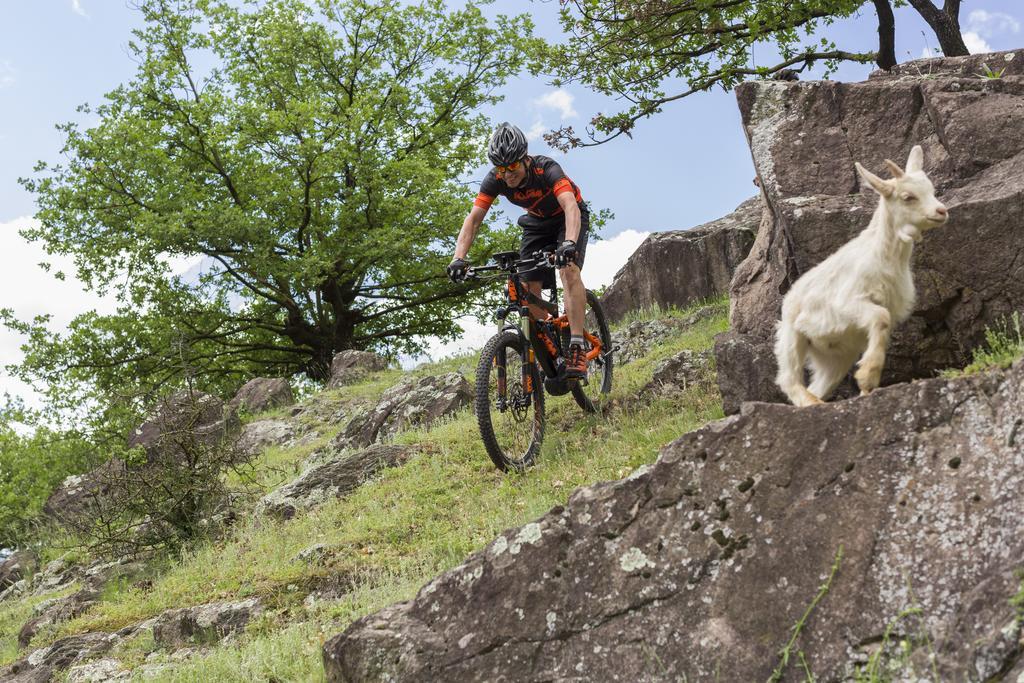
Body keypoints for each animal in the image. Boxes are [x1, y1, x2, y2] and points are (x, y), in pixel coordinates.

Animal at [774, 145, 950, 405]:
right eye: (908, 196)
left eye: (932, 190)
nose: (941, 211)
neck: (884, 257)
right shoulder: (847, 304)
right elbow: (880, 317)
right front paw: (867, 377)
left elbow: (882, 326)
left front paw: (867, 383)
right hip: (792, 336)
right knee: (788, 378)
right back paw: (811, 403)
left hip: (836, 357)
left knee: (820, 382)